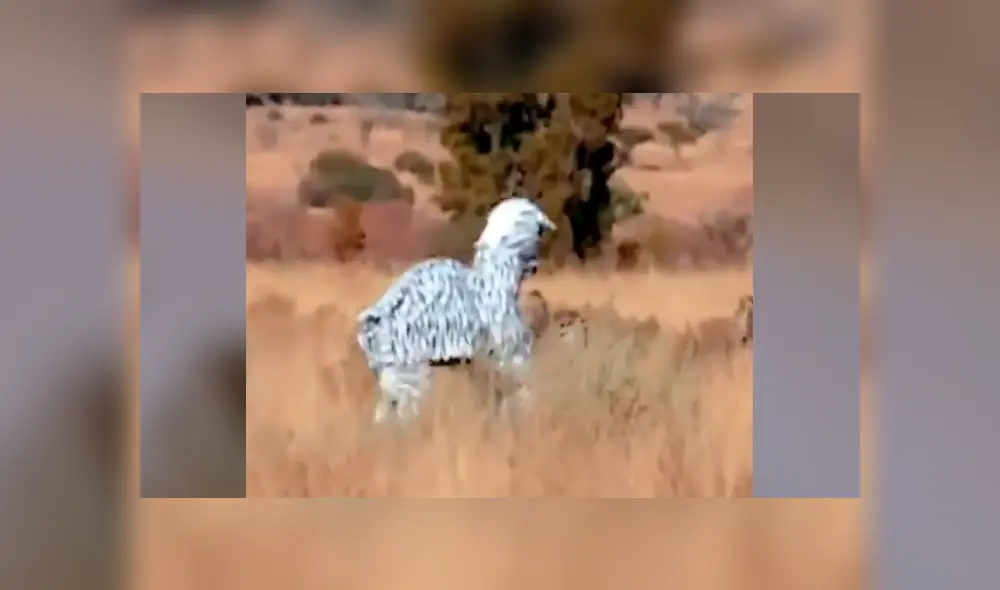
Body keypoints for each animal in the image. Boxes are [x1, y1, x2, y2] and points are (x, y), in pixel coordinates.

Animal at [356, 197, 557, 423]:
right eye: (538, 230)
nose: (534, 266)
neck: (494, 275)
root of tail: (373, 323)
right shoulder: (506, 354)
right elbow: (518, 387)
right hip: (410, 376)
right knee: (404, 414)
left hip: (392, 376)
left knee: (384, 413)